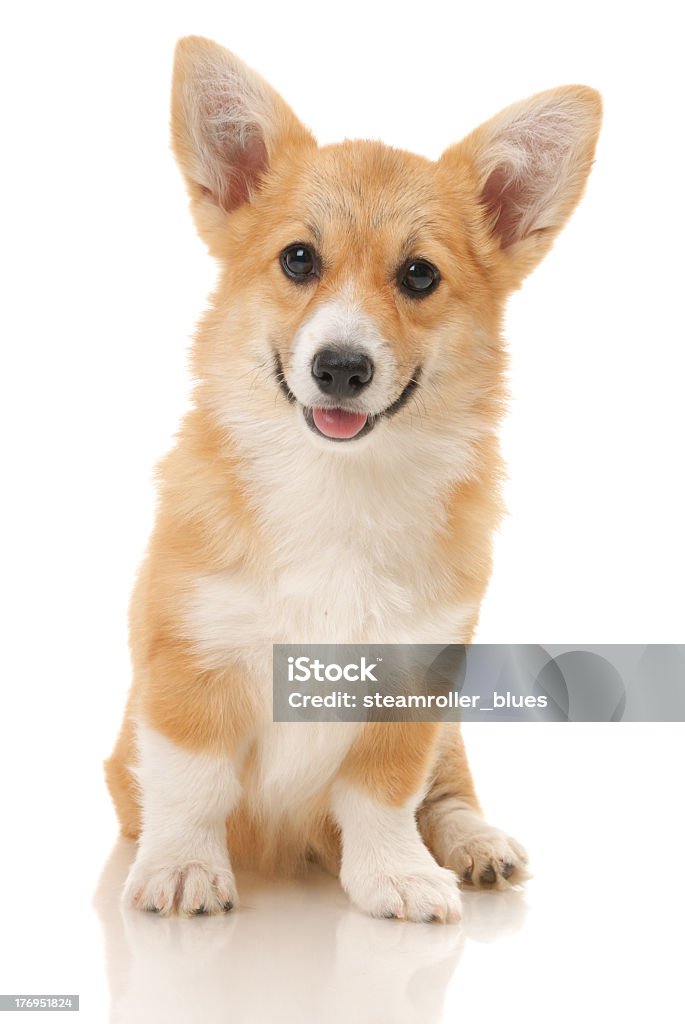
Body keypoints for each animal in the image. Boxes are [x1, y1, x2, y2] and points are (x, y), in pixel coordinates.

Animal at [105, 36, 597, 925]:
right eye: (298, 259)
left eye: (419, 276)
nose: (340, 367)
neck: (337, 481)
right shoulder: (189, 661)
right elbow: (191, 781)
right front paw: (184, 868)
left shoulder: (412, 685)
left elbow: (383, 796)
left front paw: (395, 876)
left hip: (453, 734)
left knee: (448, 791)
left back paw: (475, 846)